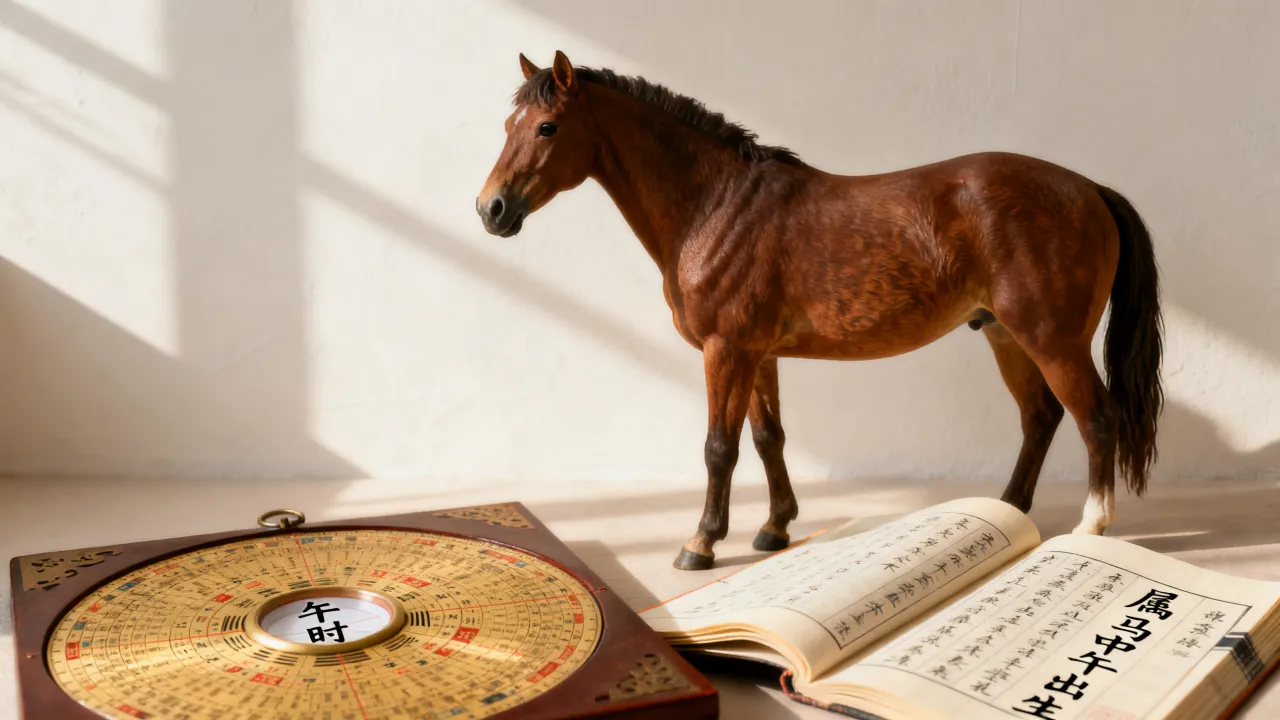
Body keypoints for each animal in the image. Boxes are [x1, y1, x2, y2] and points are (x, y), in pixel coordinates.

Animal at [477, 51, 1163, 571]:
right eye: (508, 123)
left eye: (547, 127)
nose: (491, 209)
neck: (715, 205)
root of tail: (1089, 190)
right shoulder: (758, 354)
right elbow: (767, 439)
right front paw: (775, 529)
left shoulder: (726, 351)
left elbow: (719, 447)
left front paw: (700, 543)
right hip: (1005, 336)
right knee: (1040, 417)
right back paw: (1008, 509)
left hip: (1051, 339)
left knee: (1096, 418)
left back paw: (1091, 527)